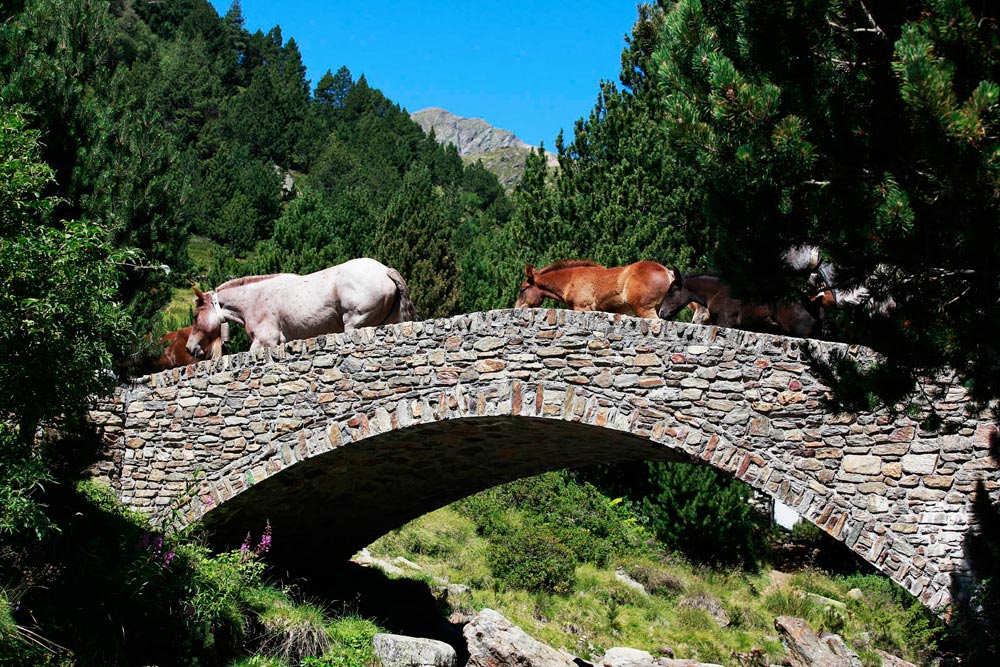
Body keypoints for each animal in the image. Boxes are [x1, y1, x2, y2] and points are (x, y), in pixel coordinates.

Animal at [186, 258, 416, 358]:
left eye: (196, 316)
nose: (190, 347)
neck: (254, 300)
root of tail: (385, 270)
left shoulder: (264, 342)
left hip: (355, 323)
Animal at [516, 258, 672, 318]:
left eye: (522, 289)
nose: (516, 308)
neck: (572, 278)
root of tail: (667, 271)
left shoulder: (582, 308)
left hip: (645, 310)